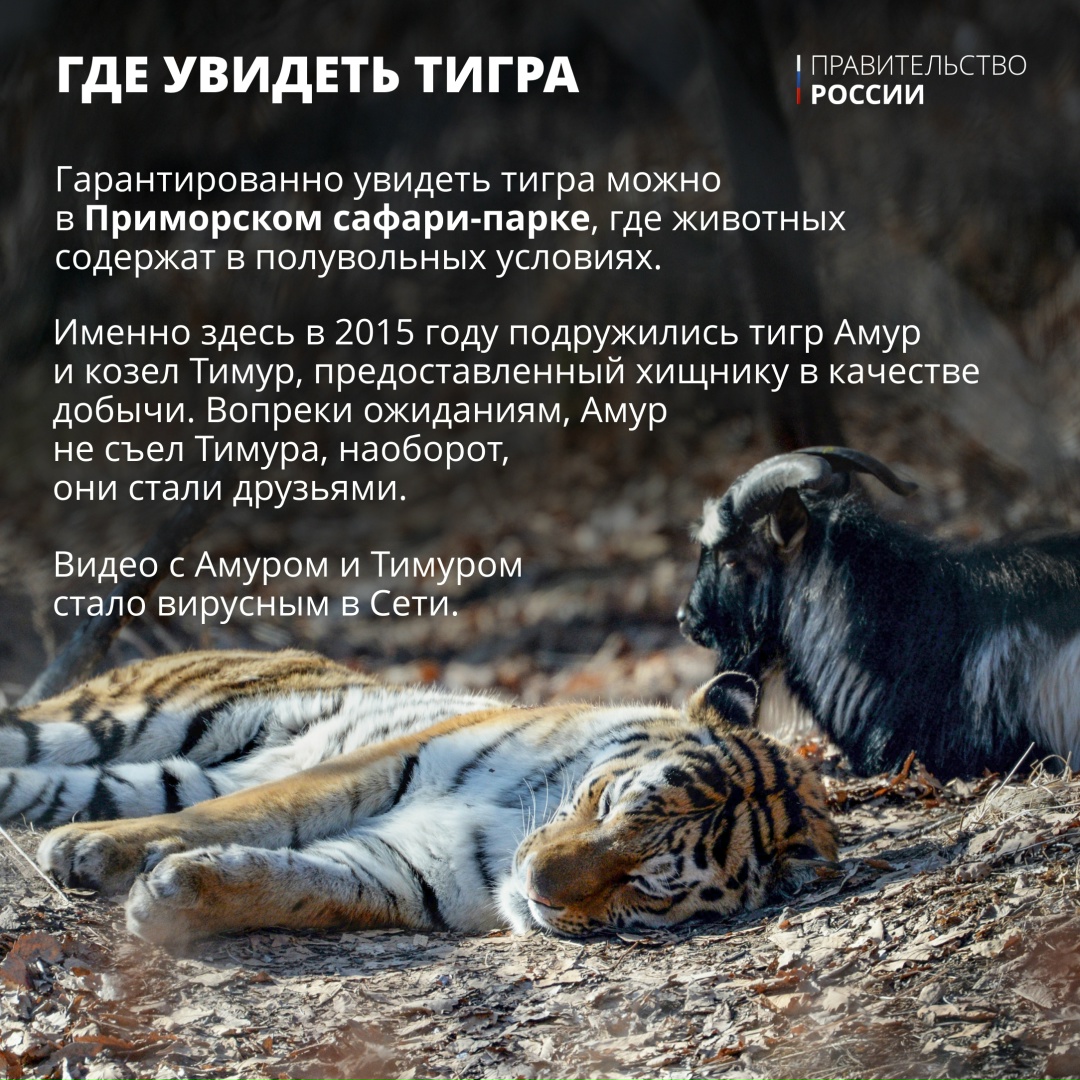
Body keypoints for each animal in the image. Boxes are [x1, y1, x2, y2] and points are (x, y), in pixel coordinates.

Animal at [0, 650, 837, 946]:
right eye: (607, 805)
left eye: (646, 882)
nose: (535, 886)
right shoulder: (381, 761)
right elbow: (247, 814)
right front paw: (111, 853)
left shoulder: (413, 868)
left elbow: (306, 886)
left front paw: (178, 897)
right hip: (126, 719)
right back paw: (78, 844)